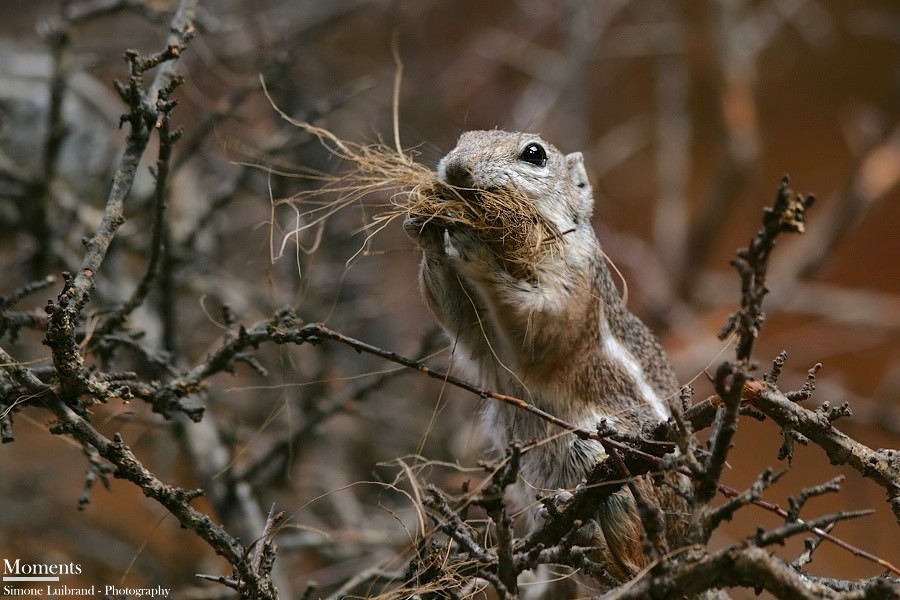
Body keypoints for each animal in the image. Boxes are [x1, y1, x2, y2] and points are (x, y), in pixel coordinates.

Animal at [404, 130, 684, 584]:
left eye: (534, 154)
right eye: (464, 138)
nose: (457, 168)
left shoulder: (569, 290)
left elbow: (538, 329)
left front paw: (476, 251)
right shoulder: (475, 330)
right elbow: (452, 313)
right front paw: (423, 222)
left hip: (612, 463)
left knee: (634, 557)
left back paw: (587, 533)